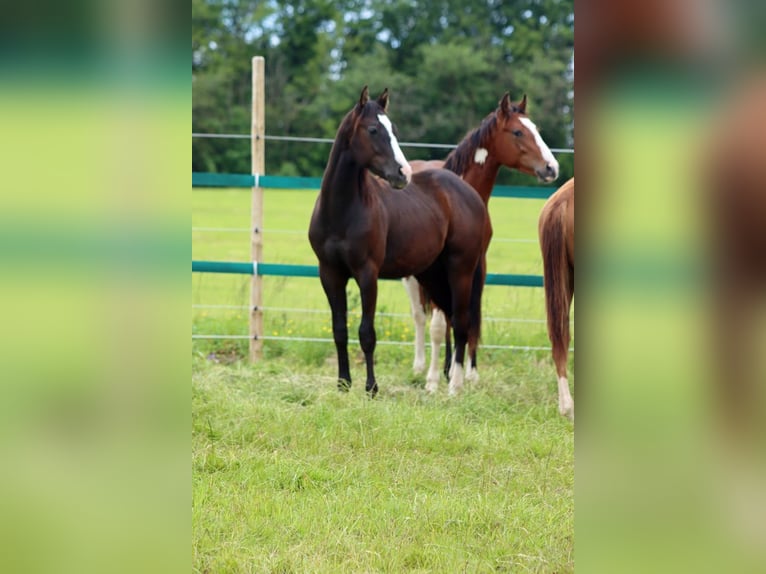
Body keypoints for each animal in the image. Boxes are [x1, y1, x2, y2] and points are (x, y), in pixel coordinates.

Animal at [308, 88, 488, 398]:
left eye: (394, 129)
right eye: (373, 129)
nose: (403, 173)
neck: (342, 210)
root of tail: (469, 192)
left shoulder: (368, 274)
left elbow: (366, 333)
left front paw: (371, 388)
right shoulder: (330, 274)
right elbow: (339, 330)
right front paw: (343, 384)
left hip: (461, 271)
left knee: (462, 322)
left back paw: (455, 385)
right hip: (432, 274)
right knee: (450, 318)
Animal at [404, 93, 560, 392]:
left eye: (536, 129)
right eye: (518, 132)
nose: (552, 168)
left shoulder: (477, 266)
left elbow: (471, 318)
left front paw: (467, 374)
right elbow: (438, 326)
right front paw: (433, 381)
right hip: (413, 276)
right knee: (420, 315)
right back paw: (420, 367)